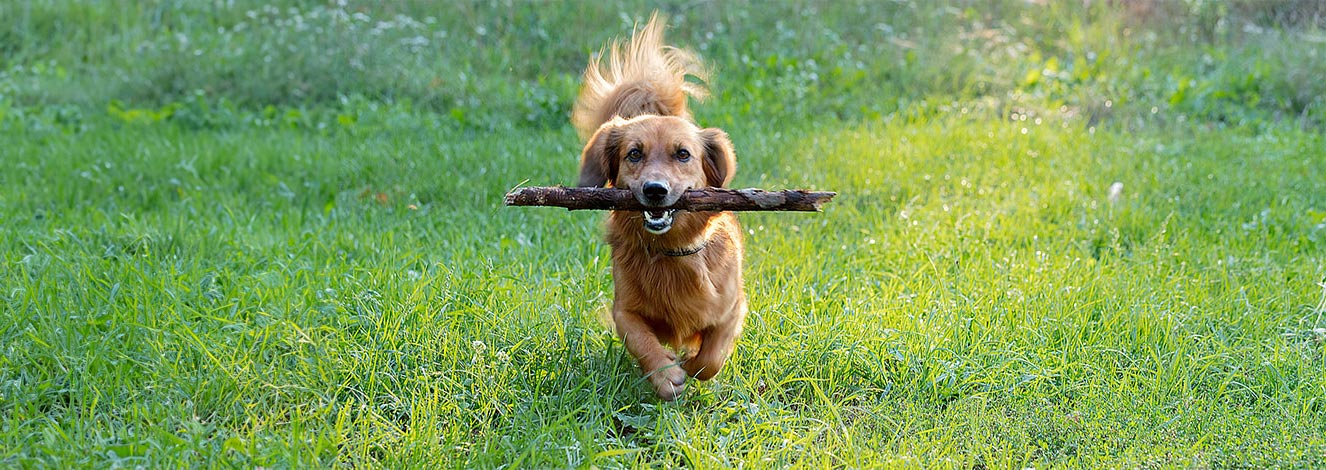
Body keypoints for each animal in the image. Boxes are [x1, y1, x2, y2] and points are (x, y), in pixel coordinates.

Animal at [572, 12, 747, 400]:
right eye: (634, 154)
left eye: (683, 154)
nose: (654, 190)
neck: (670, 252)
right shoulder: (624, 309)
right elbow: (640, 338)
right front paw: (666, 373)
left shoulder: (732, 309)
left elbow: (712, 355)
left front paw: (693, 366)